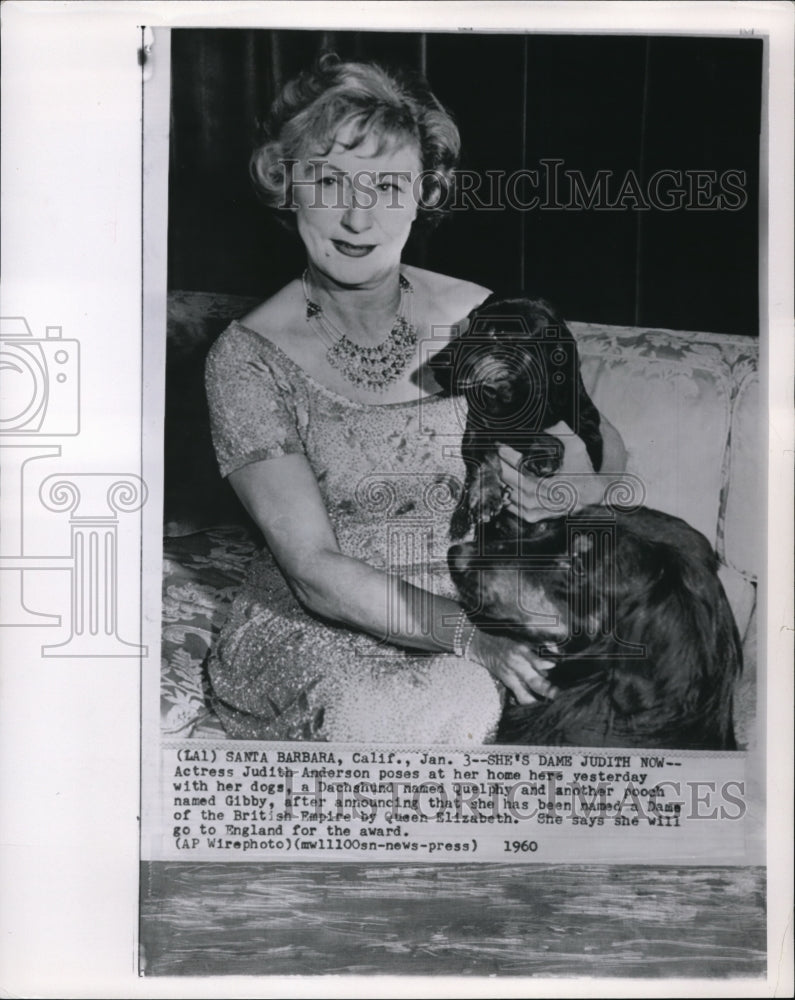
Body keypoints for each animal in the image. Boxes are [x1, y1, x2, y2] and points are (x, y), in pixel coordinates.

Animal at [432, 292, 608, 540]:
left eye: (499, 333)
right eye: (471, 321)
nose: (434, 364)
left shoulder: (588, 424)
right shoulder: (477, 425)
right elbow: (485, 453)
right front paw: (486, 496)